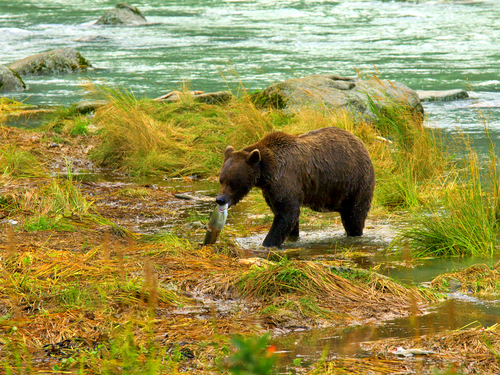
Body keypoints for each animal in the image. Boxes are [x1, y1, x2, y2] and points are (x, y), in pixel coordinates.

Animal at [215, 127, 376, 250]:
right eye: (221, 179)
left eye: (233, 182)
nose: (220, 199)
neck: (266, 173)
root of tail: (360, 143)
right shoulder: (270, 190)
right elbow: (284, 214)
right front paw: (292, 236)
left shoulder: (286, 178)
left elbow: (287, 214)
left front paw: (268, 243)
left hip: (354, 182)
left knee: (354, 215)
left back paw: (355, 234)